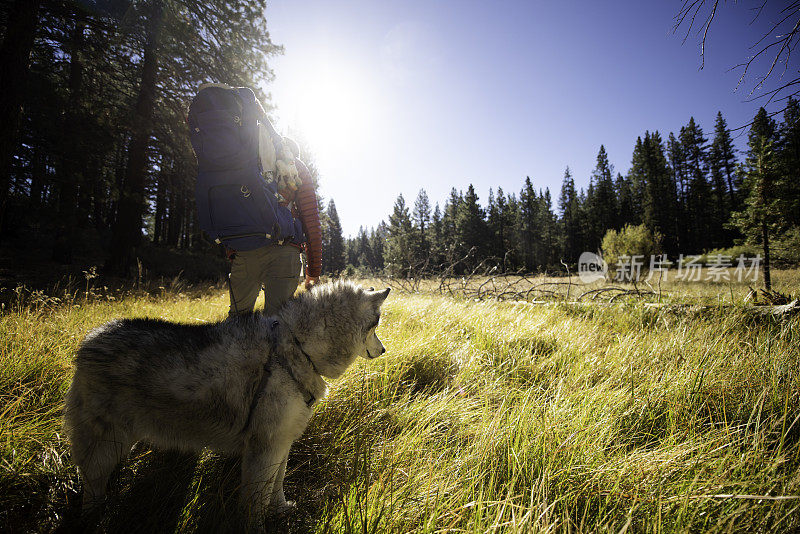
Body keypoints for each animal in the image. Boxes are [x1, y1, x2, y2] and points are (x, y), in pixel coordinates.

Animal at [64, 282, 390, 524]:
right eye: (377, 324)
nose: (384, 350)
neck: (298, 347)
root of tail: (89, 339)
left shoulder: (281, 442)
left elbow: (277, 484)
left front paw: (281, 510)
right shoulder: (265, 445)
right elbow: (258, 500)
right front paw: (259, 525)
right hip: (104, 446)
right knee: (92, 486)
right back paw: (94, 516)